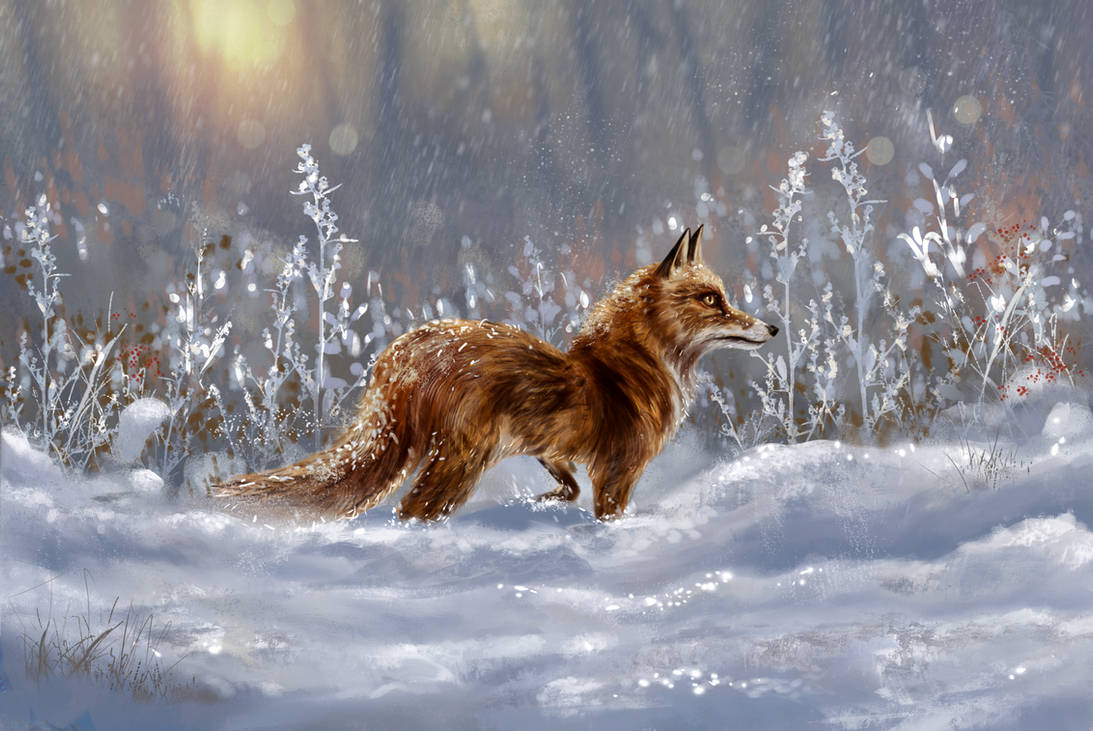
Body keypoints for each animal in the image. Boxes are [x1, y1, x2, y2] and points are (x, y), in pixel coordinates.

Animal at [214, 225, 778, 521]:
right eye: (712, 300)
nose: (772, 327)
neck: (629, 365)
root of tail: (402, 353)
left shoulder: (552, 450)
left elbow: (568, 486)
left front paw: (544, 501)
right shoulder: (620, 472)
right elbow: (603, 510)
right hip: (463, 461)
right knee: (413, 509)